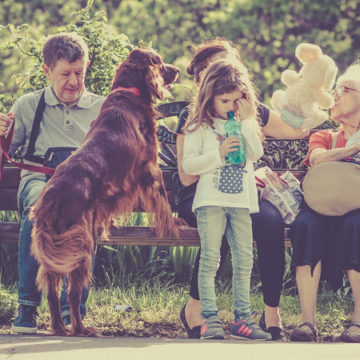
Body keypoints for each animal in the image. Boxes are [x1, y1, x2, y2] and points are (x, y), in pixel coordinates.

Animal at [30, 49, 181, 336]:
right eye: (158, 60)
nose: (178, 69)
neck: (129, 91)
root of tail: (50, 199)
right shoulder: (149, 166)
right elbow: (163, 200)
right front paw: (174, 226)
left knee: (53, 291)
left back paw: (59, 328)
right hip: (81, 245)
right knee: (73, 293)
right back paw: (81, 329)